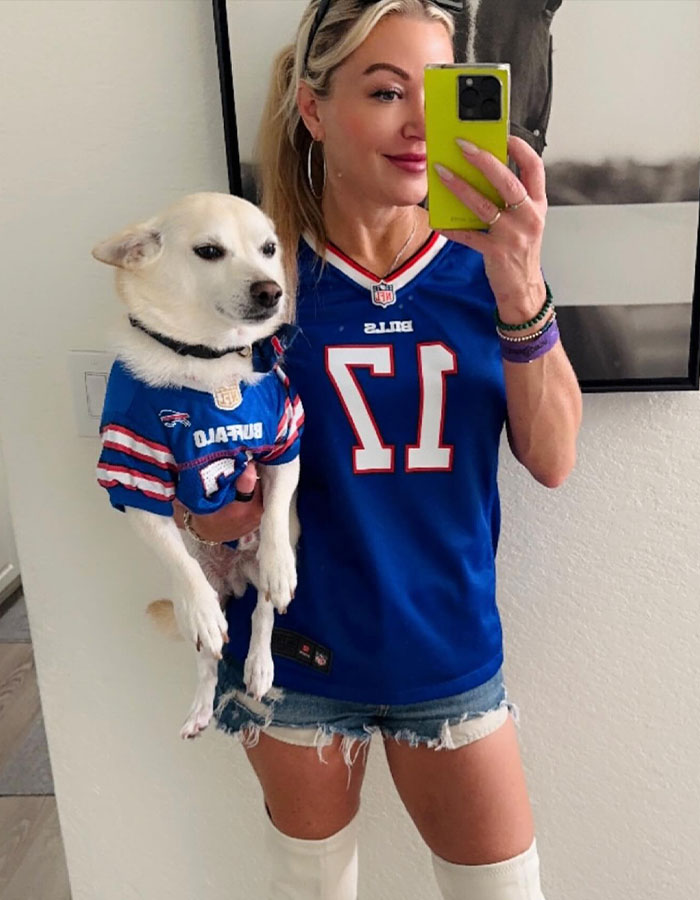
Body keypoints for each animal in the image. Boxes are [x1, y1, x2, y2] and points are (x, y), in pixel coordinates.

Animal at [91, 190, 302, 740]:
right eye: (209, 252)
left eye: (269, 249)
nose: (271, 290)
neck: (210, 360)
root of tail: (235, 577)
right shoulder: (135, 478)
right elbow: (177, 560)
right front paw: (201, 607)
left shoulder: (283, 449)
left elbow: (274, 514)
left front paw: (278, 563)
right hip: (205, 610)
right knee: (208, 655)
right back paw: (200, 707)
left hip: (264, 584)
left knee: (263, 617)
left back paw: (260, 667)